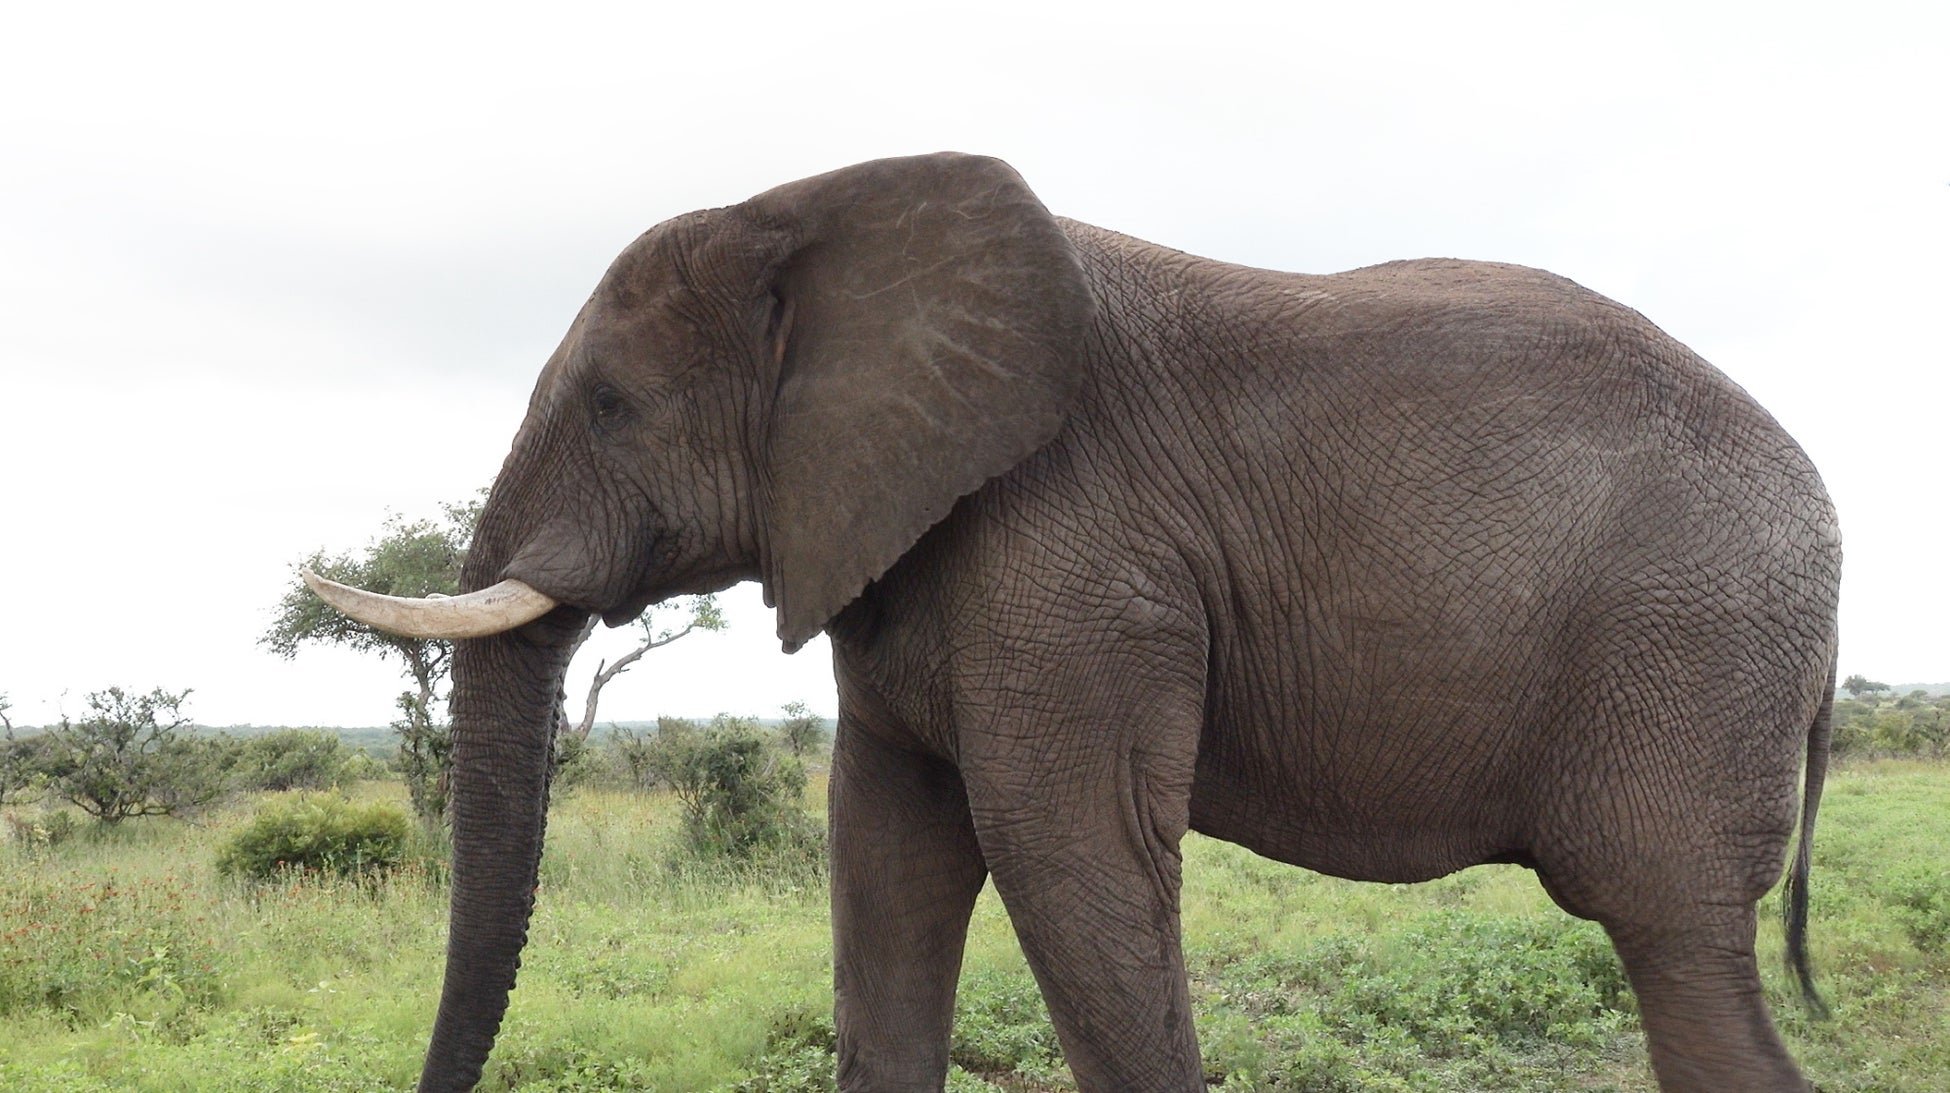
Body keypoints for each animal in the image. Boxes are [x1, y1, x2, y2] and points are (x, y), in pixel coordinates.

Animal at [312, 149, 1833, 1083]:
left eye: (612, 405)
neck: (815, 212)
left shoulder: (1078, 559)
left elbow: (1070, 864)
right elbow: (886, 860)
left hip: (1693, 649)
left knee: (1677, 949)